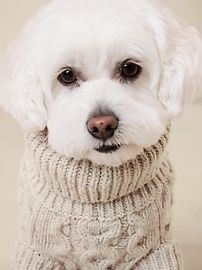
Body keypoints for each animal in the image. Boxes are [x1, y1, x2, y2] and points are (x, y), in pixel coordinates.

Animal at [0, 0, 202, 268]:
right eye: (66, 75)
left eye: (129, 68)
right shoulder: (39, 254)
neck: (98, 194)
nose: (102, 125)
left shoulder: (157, 252)